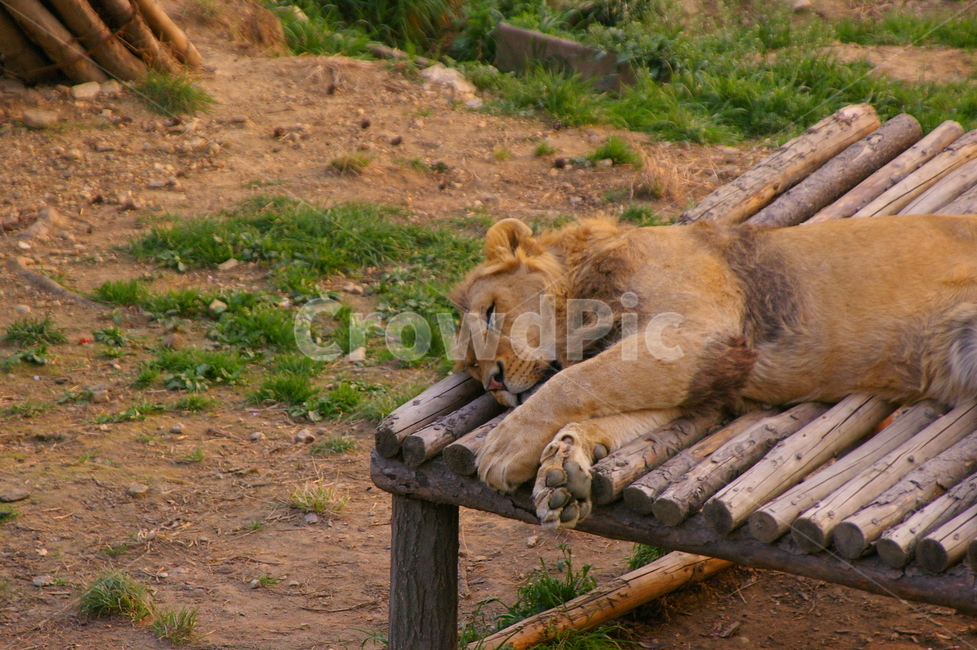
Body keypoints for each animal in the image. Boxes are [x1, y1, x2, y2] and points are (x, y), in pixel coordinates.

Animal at [449, 214, 977, 529]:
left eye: (491, 312)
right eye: (472, 370)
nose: (495, 382)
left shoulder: (699, 335)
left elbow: (572, 381)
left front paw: (504, 448)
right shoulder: (706, 379)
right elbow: (606, 411)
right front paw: (561, 472)